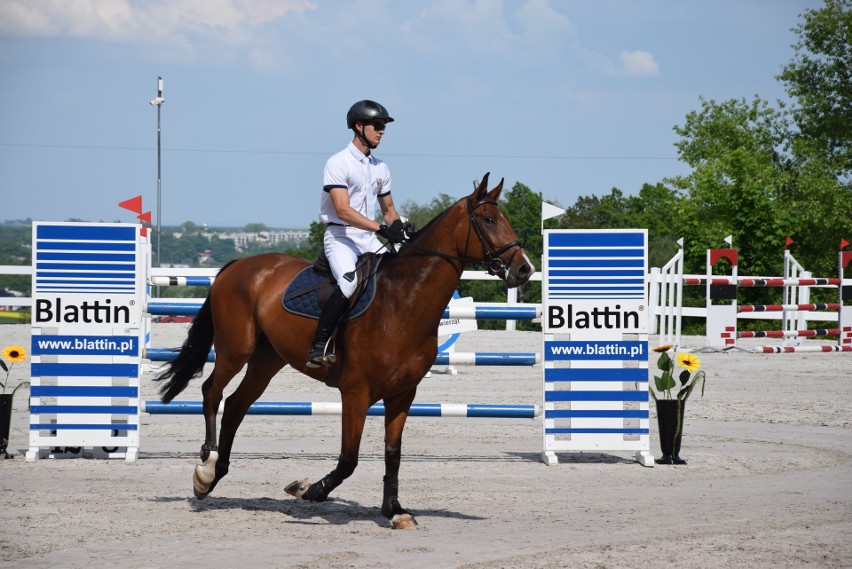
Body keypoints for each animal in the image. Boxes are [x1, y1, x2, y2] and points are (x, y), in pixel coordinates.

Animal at [153, 173, 532, 528]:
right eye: (488, 219)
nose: (524, 268)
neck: (403, 300)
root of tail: (239, 266)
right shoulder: (356, 393)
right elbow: (349, 459)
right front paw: (308, 490)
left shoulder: (402, 394)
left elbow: (393, 453)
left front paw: (395, 511)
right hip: (236, 349)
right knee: (212, 391)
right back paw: (207, 467)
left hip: (267, 359)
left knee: (235, 405)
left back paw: (216, 474)